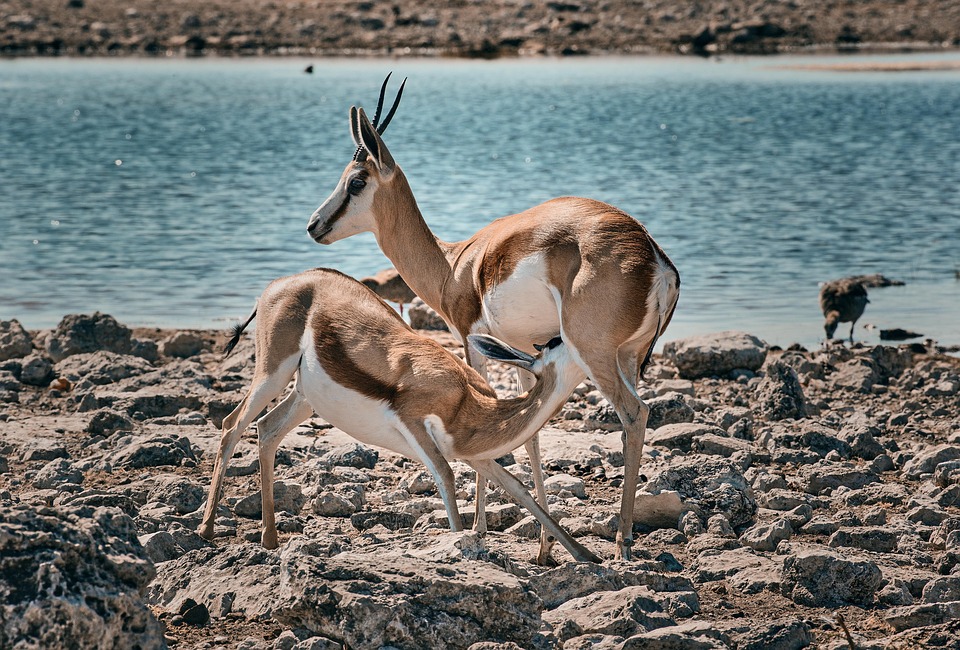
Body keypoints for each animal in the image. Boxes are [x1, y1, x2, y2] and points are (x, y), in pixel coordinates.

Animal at [197, 268, 601, 564]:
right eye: (556, 340)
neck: (466, 403)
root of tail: (284, 281)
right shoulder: (418, 427)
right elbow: (446, 478)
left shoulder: (476, 456)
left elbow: (520, 489)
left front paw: (586, 555)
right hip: (272, 374)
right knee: (232, 426)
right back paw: (206, 530)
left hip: (305, 397)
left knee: (267, 428)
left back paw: (269, 538)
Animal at [306, 76, 680, 562]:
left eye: (355, 180)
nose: (314, 225)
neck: (453, 264)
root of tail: (655, 256)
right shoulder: (524, 349)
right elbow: (533, 436)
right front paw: (544, 548)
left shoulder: (471, 342)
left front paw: (478, 531)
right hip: (630, 357)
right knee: (632, 419)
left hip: (594, 353)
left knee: (635, 414)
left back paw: (622, 545)